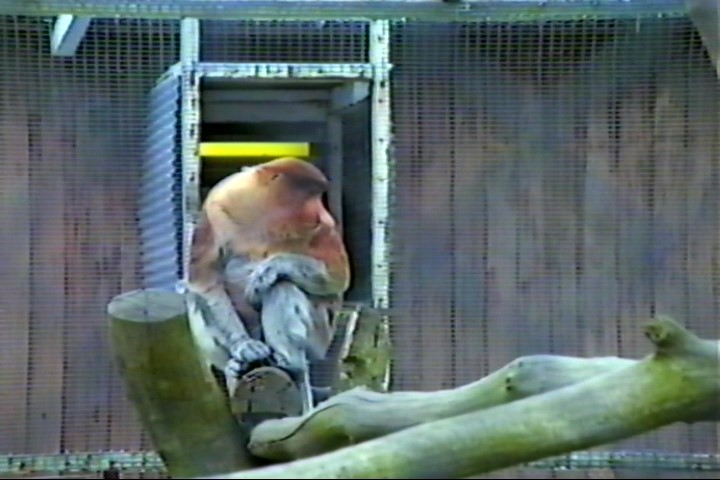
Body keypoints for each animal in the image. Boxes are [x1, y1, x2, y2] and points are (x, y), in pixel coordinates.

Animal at [182, 157, 351, 412]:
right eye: (312, 196)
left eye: (319, 196)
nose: (325, 216)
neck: (260, 211)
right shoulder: (215, 208)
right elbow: (204, 282)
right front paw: (245, 347)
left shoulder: (319, 232)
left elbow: (337, 275)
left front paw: (268, 270)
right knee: (193, 297)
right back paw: (236, 364)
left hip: (318, 338)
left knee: (282, 286)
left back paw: (289, 362)